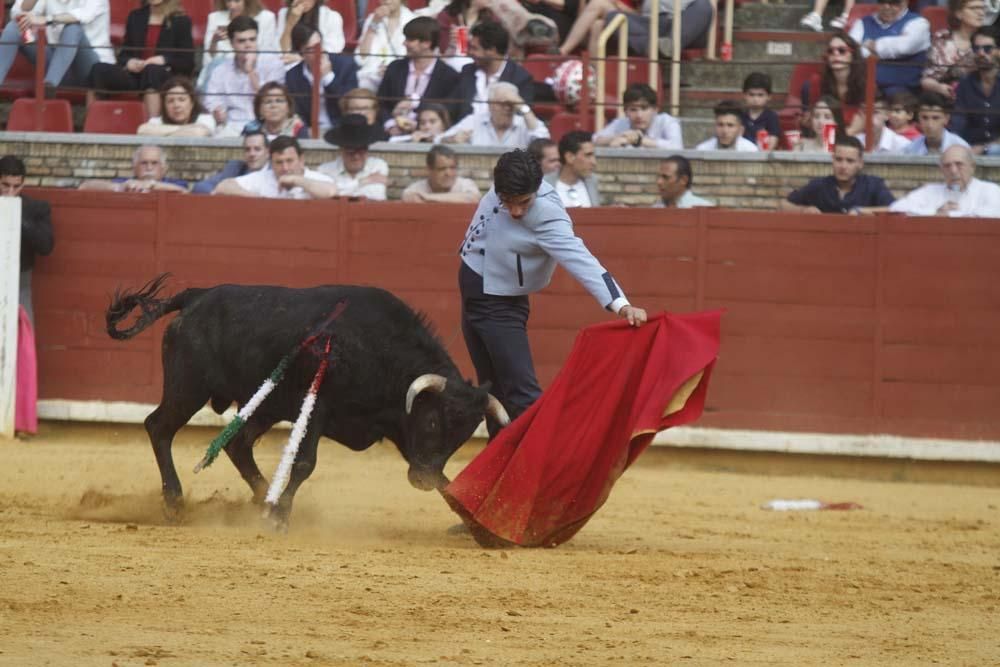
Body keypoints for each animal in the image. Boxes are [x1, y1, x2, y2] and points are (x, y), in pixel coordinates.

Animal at [107, 276, 508, 528]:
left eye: (461, 438)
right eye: (433, 422)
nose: (421, 481)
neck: (380, 351)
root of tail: (195, 296)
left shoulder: (401, 430)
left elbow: (449, 482)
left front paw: (477, 525)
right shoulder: (318, 408)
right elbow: (304, 463)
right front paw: (282, 516)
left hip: (263, 406)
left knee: (237, 445)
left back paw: (261, 500)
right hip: (188, 388)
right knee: (159, 427)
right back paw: (175, 503)